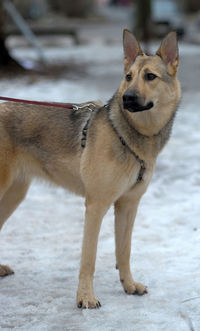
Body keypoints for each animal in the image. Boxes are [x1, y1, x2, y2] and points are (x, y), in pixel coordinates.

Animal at [0, 30, 181, 308]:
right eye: (128, 77)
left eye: (150, 76)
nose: (127, 98)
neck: (127, 135)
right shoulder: (95, 206)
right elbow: (89, 258)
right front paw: (85, 297)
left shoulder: (128, 205)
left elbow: (124, 251)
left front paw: (129, 286)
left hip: (14, 194)